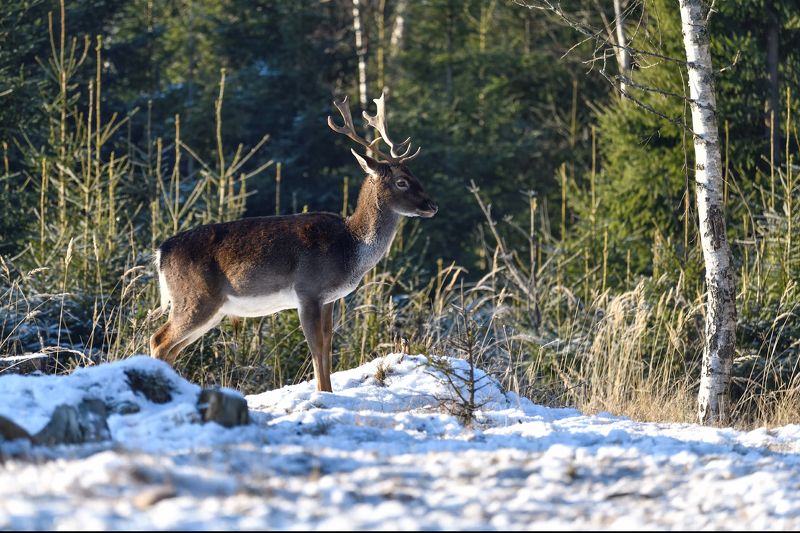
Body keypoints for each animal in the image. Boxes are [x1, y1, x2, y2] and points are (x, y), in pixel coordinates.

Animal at [149, 92, 437, 392]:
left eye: (415, 176)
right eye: (402, 181)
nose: (432, 206)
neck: (351, 246)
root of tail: (161, 252)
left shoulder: (330, 298)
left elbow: (327, 346)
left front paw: (329, 393)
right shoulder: (308, 290)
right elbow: (316, 347)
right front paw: (322, 393)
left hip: (211, 308)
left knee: (171, 348)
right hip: (194, 298)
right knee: (158, 340)